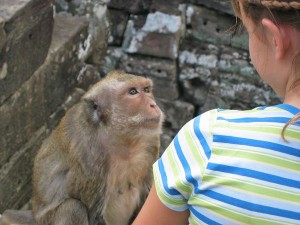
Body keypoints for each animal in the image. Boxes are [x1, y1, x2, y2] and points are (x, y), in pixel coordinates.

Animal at [0, 70, 164, 225]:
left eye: (147, 89)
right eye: (133, 92)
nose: (153, 105)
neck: (120, 138)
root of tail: (34, 215)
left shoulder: (150, 142)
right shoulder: (89, 155)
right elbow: (94, 215)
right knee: (72, 208)